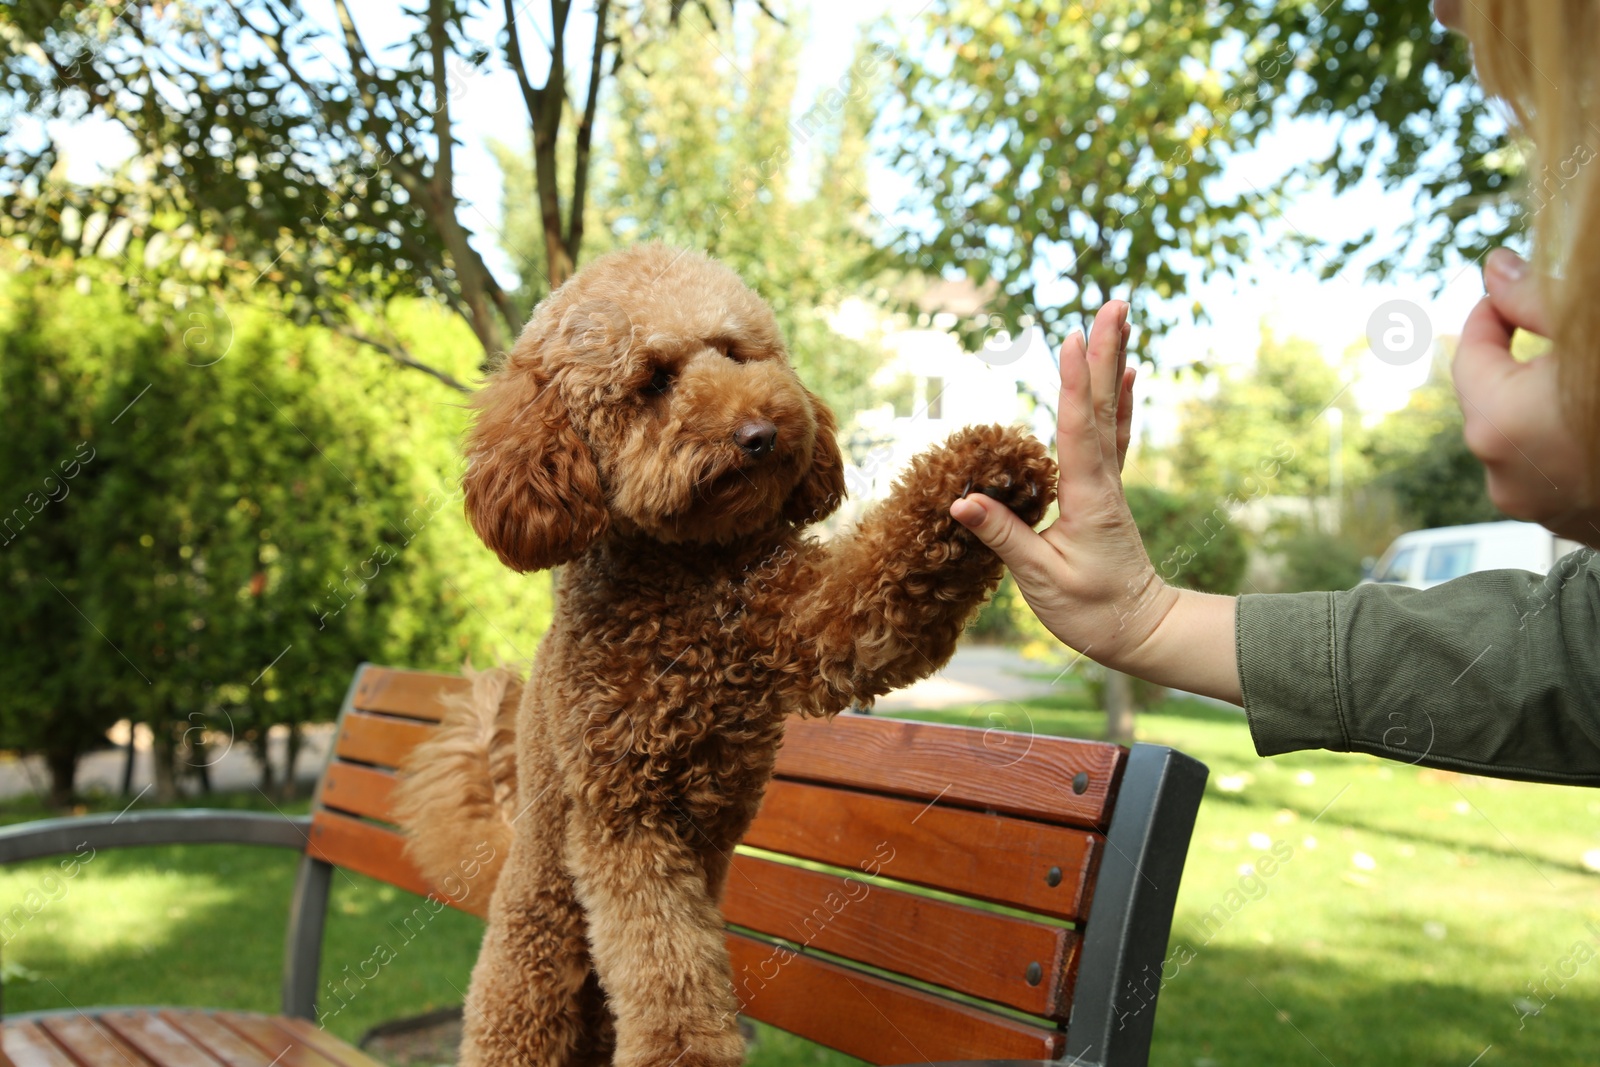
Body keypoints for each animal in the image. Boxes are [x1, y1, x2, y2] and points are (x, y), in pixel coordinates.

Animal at [393, 241, 1056, 1067]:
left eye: (737, 352)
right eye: (653, 380)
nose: (761, 432)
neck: (689, 577)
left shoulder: (814, 621)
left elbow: (881, 581)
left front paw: (988, 469)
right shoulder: (625, 818)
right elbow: (668, 971)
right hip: (531, 963)